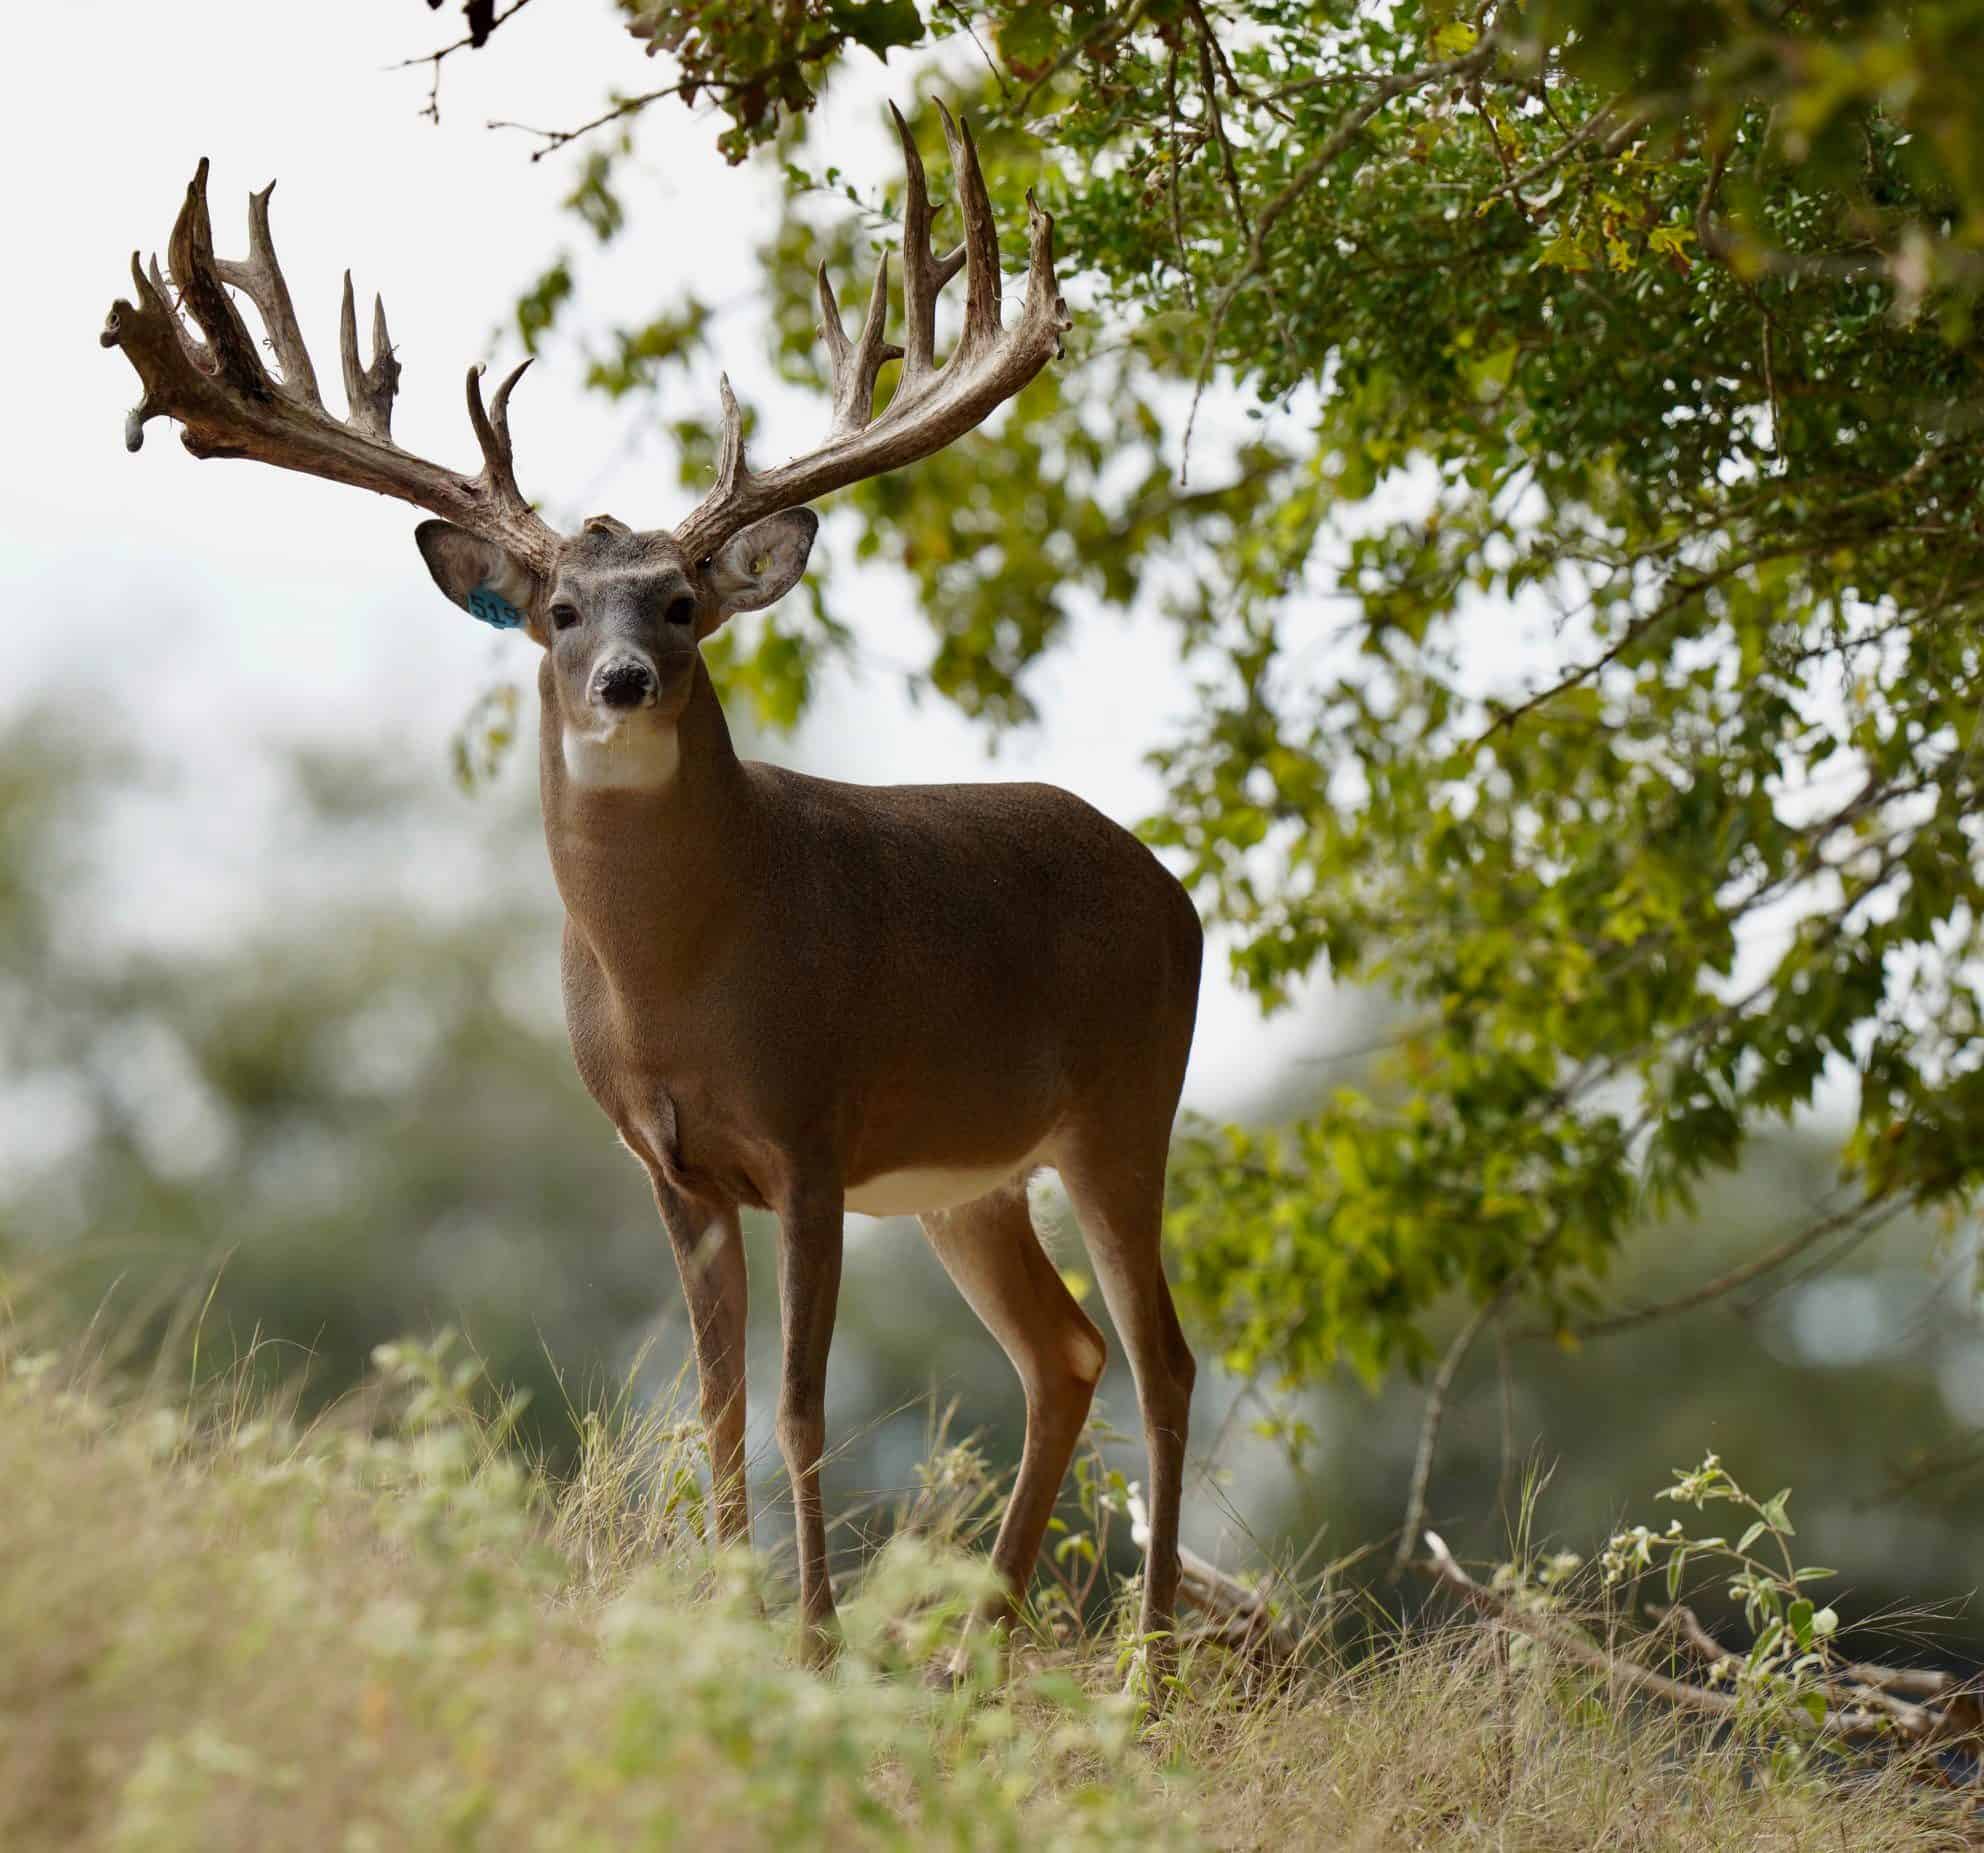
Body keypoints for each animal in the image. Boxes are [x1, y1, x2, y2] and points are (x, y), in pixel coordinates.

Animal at [100, 105, 1202, 1682]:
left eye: (681, 602)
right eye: (562, 608)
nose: (622, 679)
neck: (682, 981)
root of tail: (1173, 887)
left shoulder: (811, 1132)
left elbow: (799, 1405)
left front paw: (813, 1642)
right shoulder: (671, 1164)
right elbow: (717, 1406)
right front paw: (740, 1621)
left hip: (1125, 1101)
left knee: (1162, 1354)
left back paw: (1148, 1667)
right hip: (970, 1174)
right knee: (1066, 1351)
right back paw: (968, 1657)